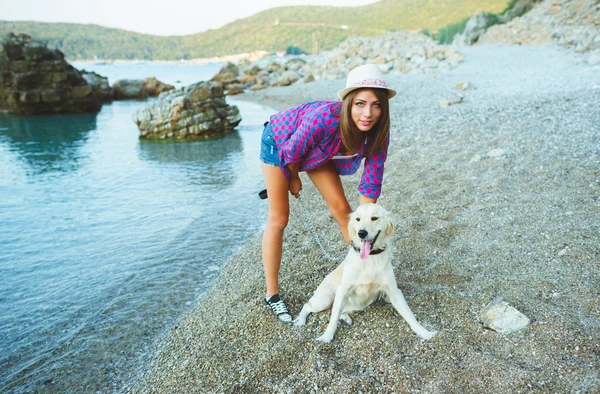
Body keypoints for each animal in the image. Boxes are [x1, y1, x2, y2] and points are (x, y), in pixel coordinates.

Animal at [292, 203, 436, 342]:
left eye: (374, 218)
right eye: (358, 219)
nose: (361, 233)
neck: (370, 258)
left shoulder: (394, 291)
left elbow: (409, 315)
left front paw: (425, 333)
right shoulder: (343, 290)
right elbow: (332, 321)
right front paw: (326, 337)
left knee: (336, 311)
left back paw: (346, 318)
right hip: (326, 299)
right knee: (309, 306)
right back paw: (300, 321)